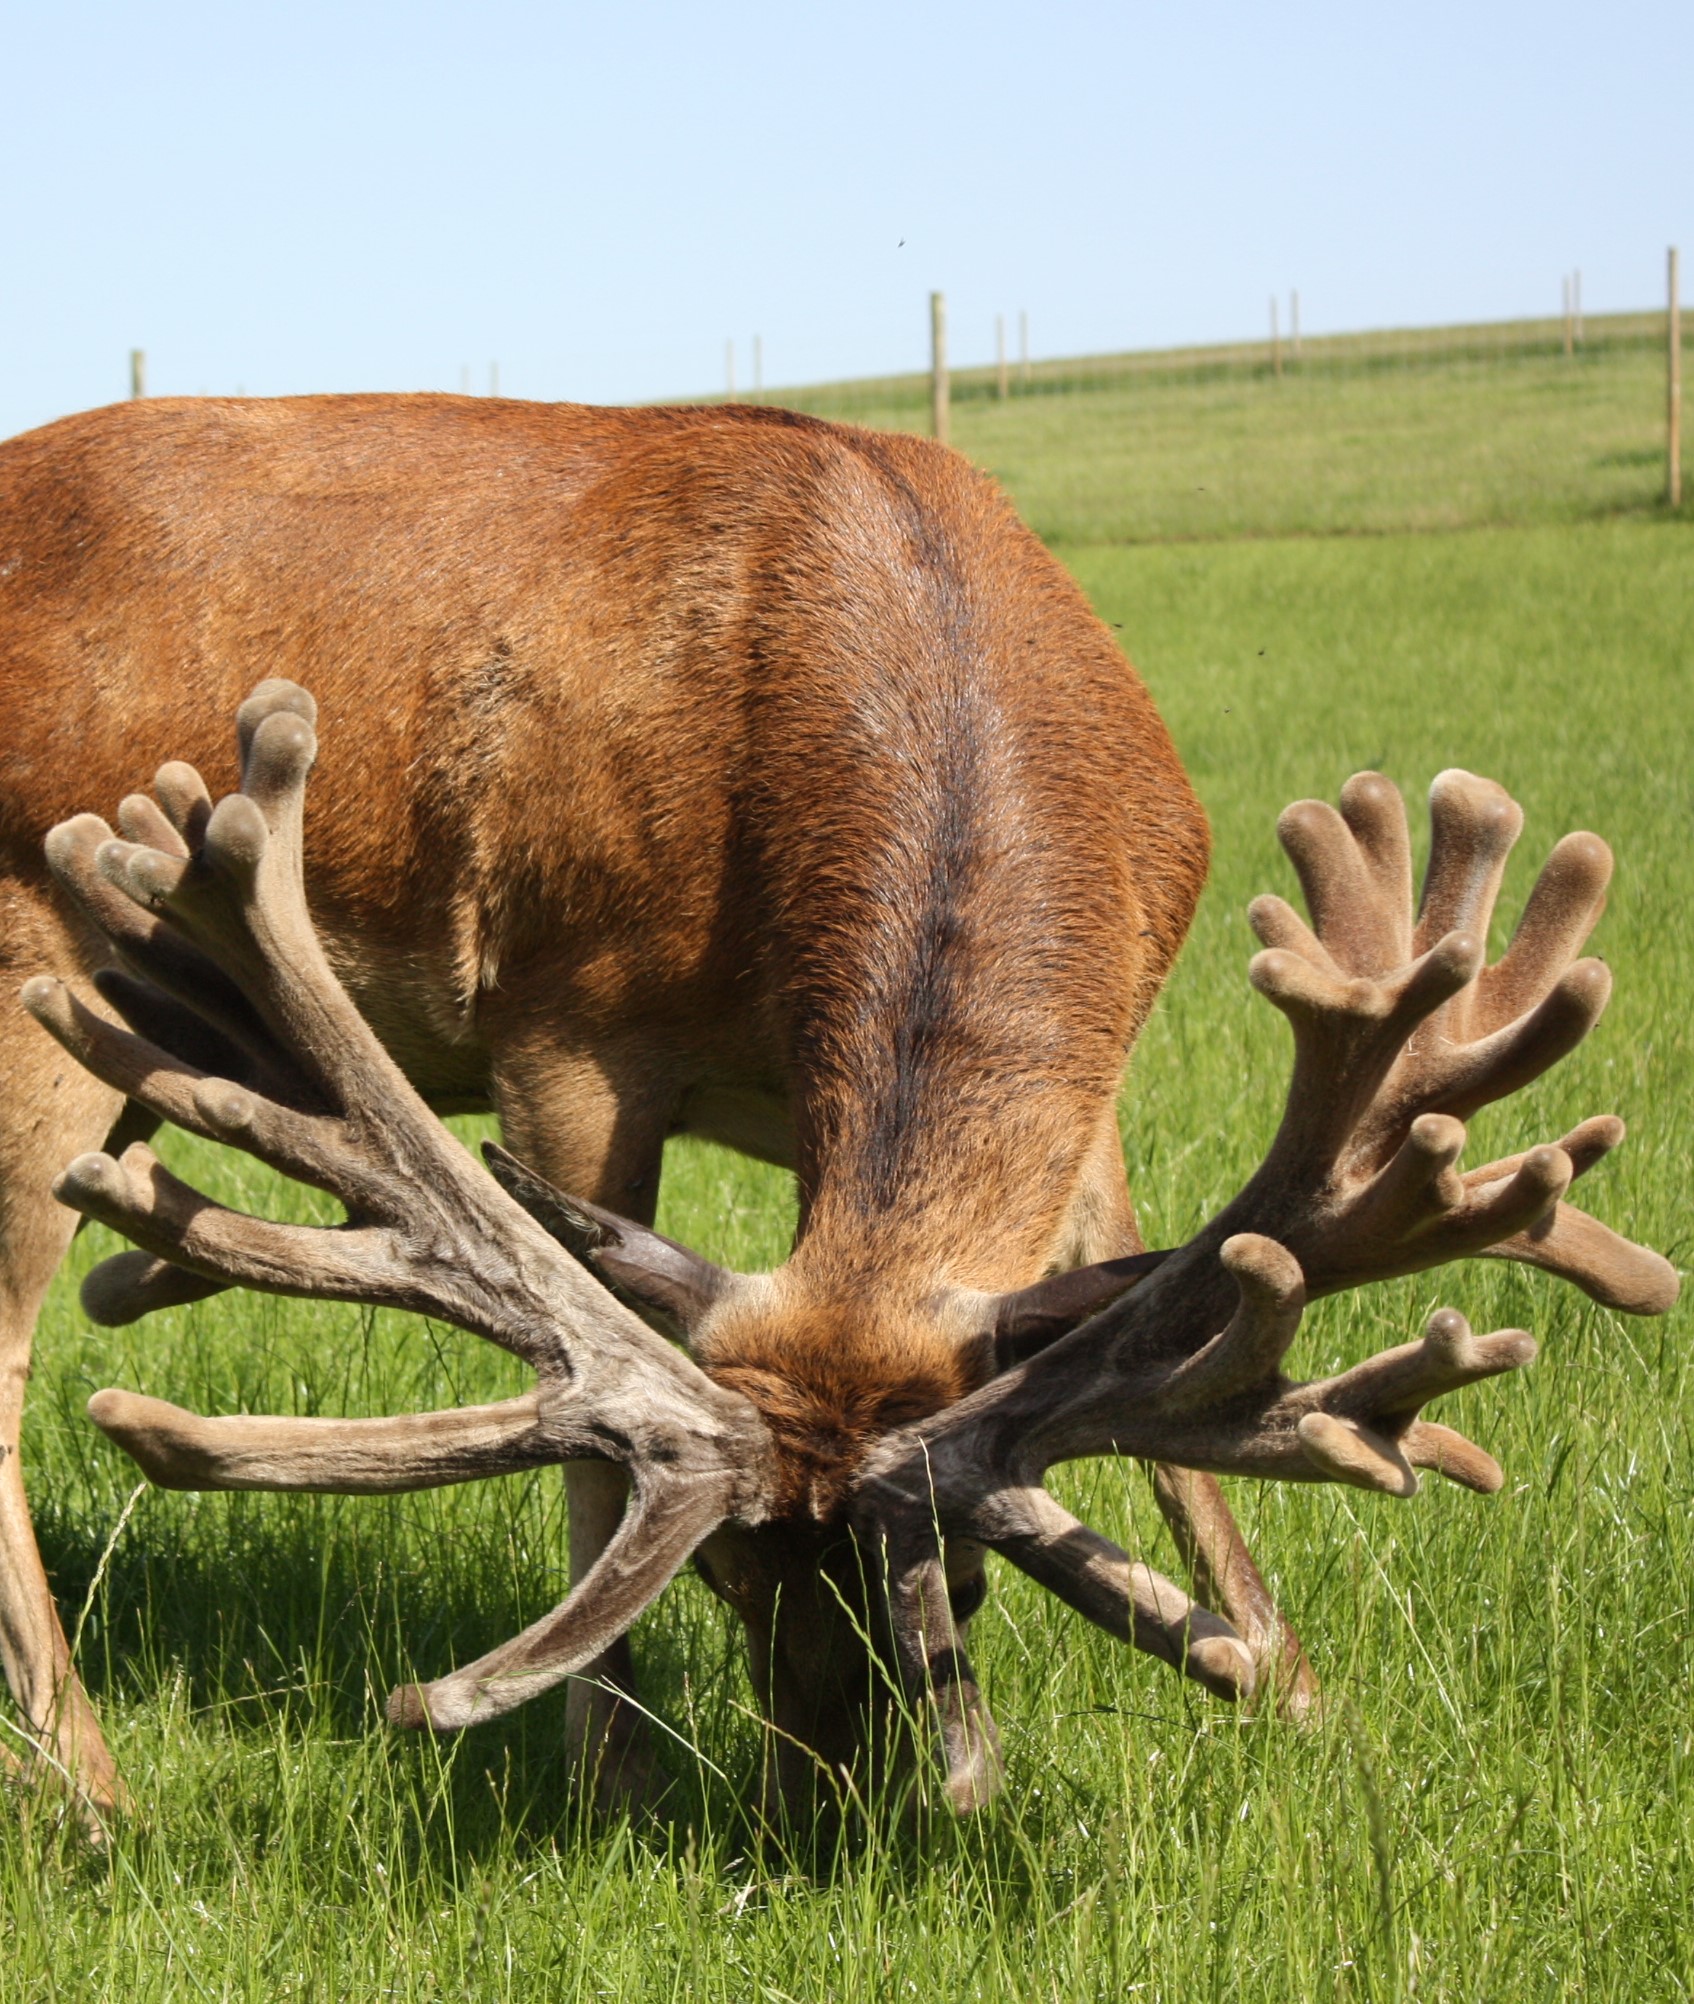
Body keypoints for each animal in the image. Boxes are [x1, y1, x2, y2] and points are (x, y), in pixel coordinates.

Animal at [0, 390, 1675, 1819]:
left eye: (960, 1589)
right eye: (723, 1573)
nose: (810, 1813)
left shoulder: (1087, 1116)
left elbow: (1183, 1365)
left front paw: (1291, 1694)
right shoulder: (567, 1022)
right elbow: (591, 1446)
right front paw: (609, 1788)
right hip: (33, 976)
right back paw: (95, 1791)